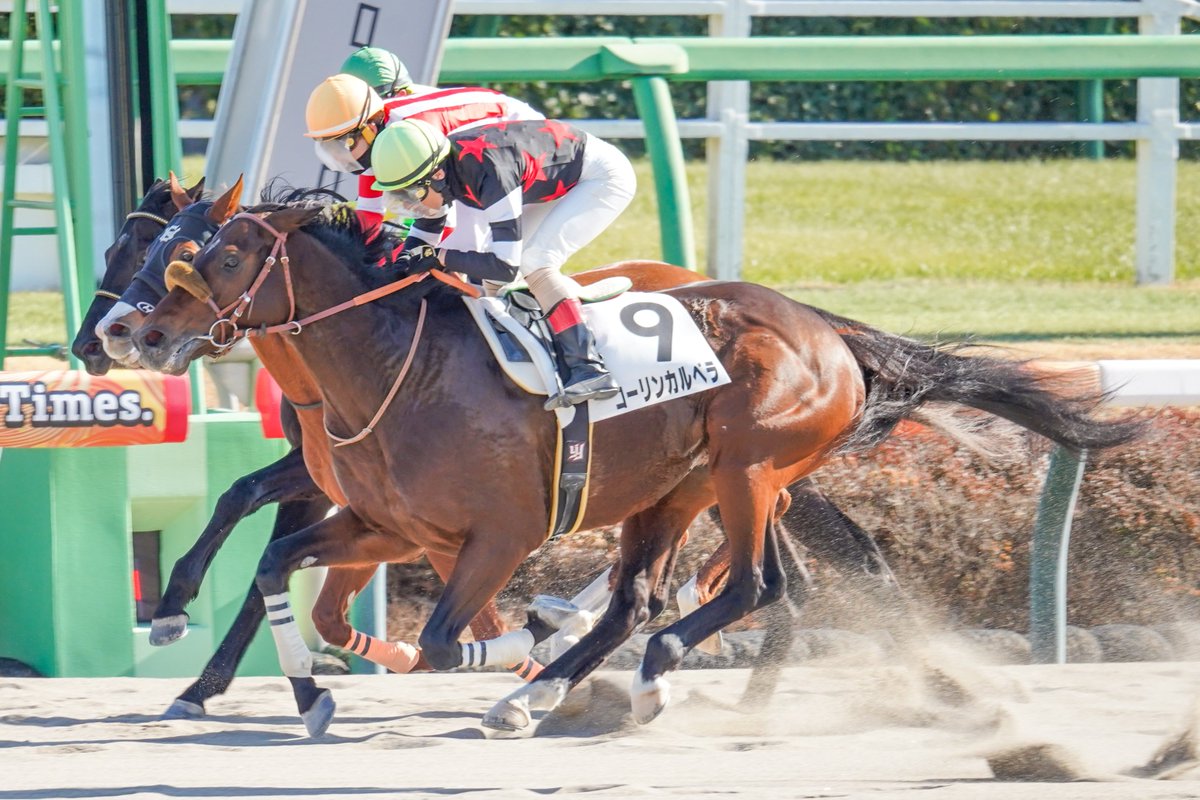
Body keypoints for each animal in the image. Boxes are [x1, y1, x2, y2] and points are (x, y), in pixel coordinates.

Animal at [128, 198, 1144, 733]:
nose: (134, 335)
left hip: (746, 468)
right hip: (676, 489)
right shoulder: (383, 524)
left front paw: (525, 643)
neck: (397, 369)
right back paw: (555, 688)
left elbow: (443, 640)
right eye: (153, 250)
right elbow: (276, 565)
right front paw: (296, 691)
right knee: (649, 597)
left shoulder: (500, 534)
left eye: (219, 256)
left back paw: (632, 674)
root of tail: (828, 329)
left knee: (755, 585)